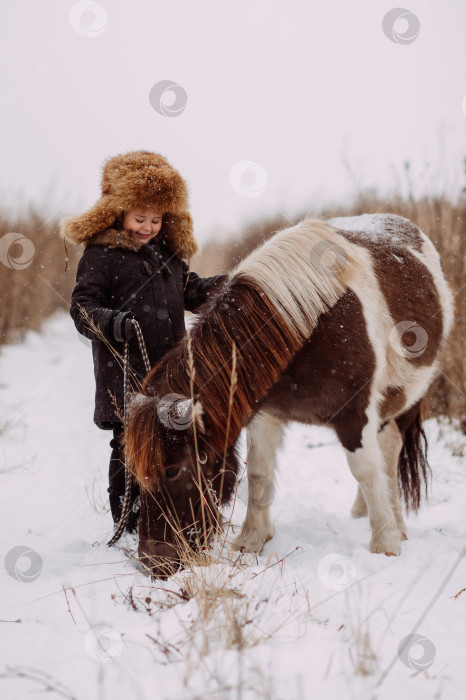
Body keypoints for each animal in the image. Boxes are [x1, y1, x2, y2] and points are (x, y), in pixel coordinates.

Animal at [122, 213, 454, 576]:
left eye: (172, 470)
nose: (153, 561)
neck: (306, 324)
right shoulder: (264, 413)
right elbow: (259, 472)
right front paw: (251, 540)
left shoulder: (355, 415)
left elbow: (365, 469)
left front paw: (386, 545)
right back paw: (361, 511)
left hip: (405, 401)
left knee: (390, 452)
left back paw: (396, 524)